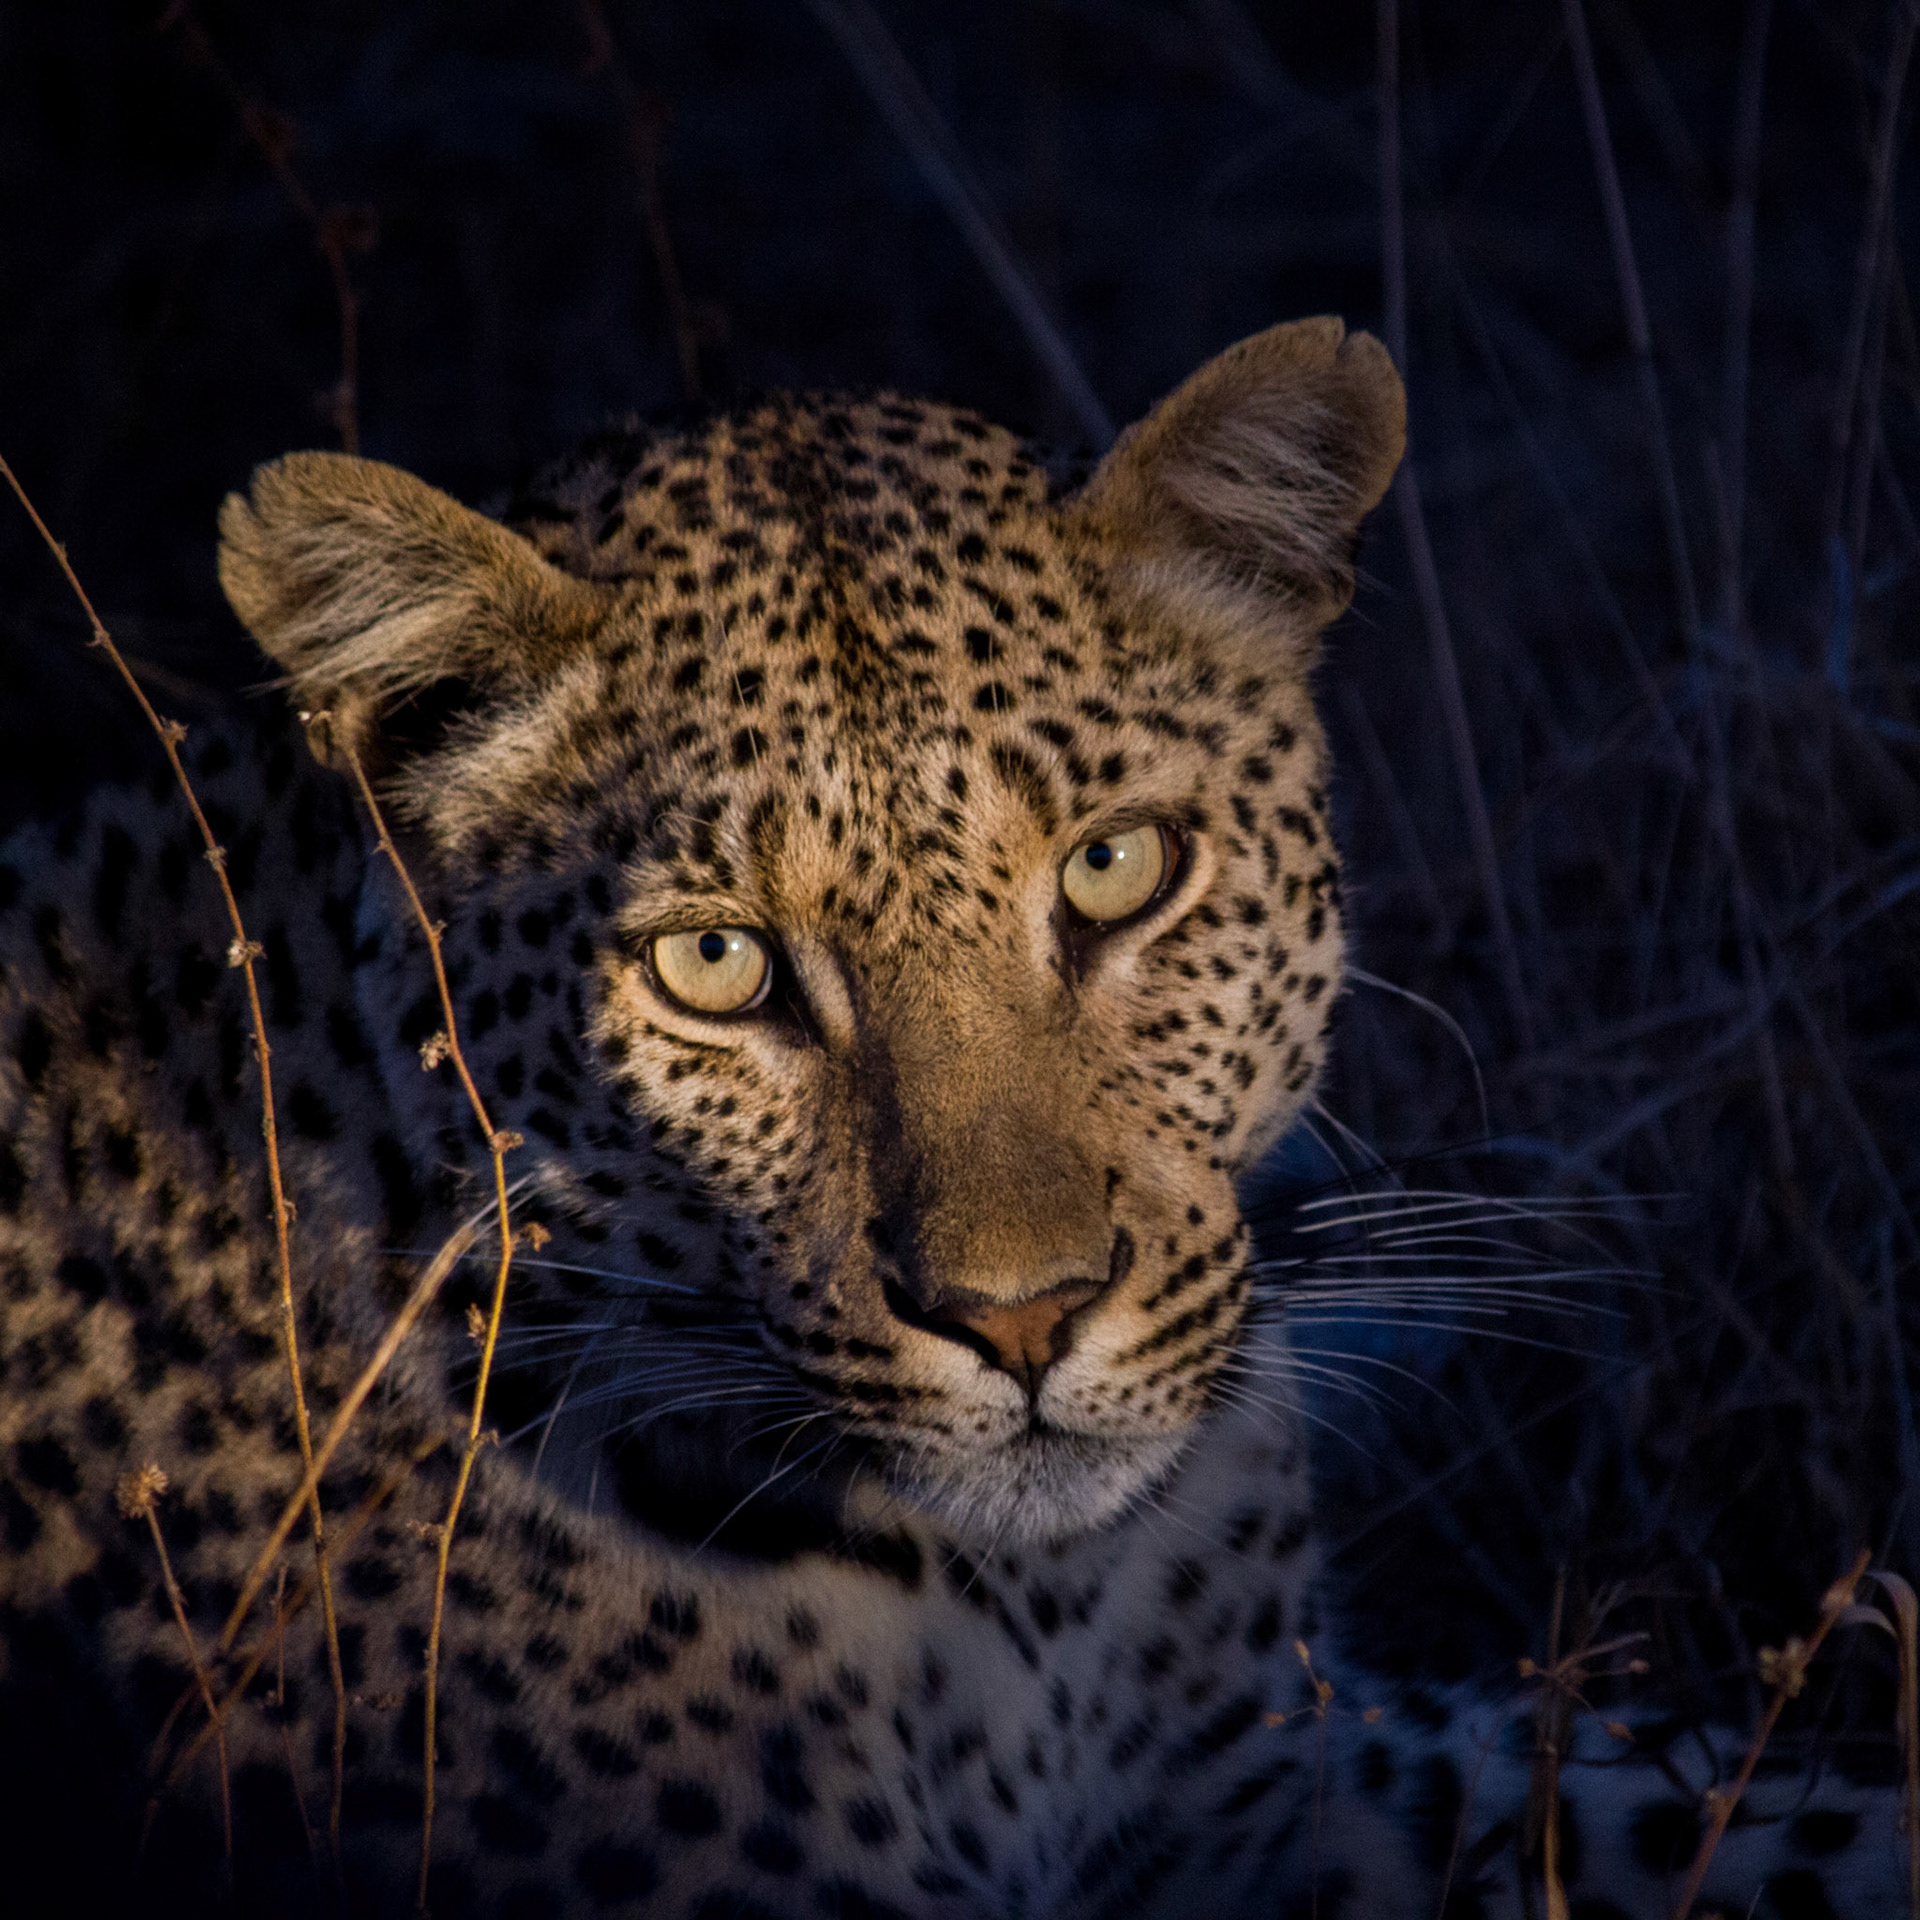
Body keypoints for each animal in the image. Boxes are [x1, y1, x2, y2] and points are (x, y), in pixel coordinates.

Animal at [0, 316, 1902, 1918]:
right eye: (715, 965)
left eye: (1118, 869)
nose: (1026, 1318)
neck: (1039, 1631)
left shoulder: (1290, 1787)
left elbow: (1728, 1802)